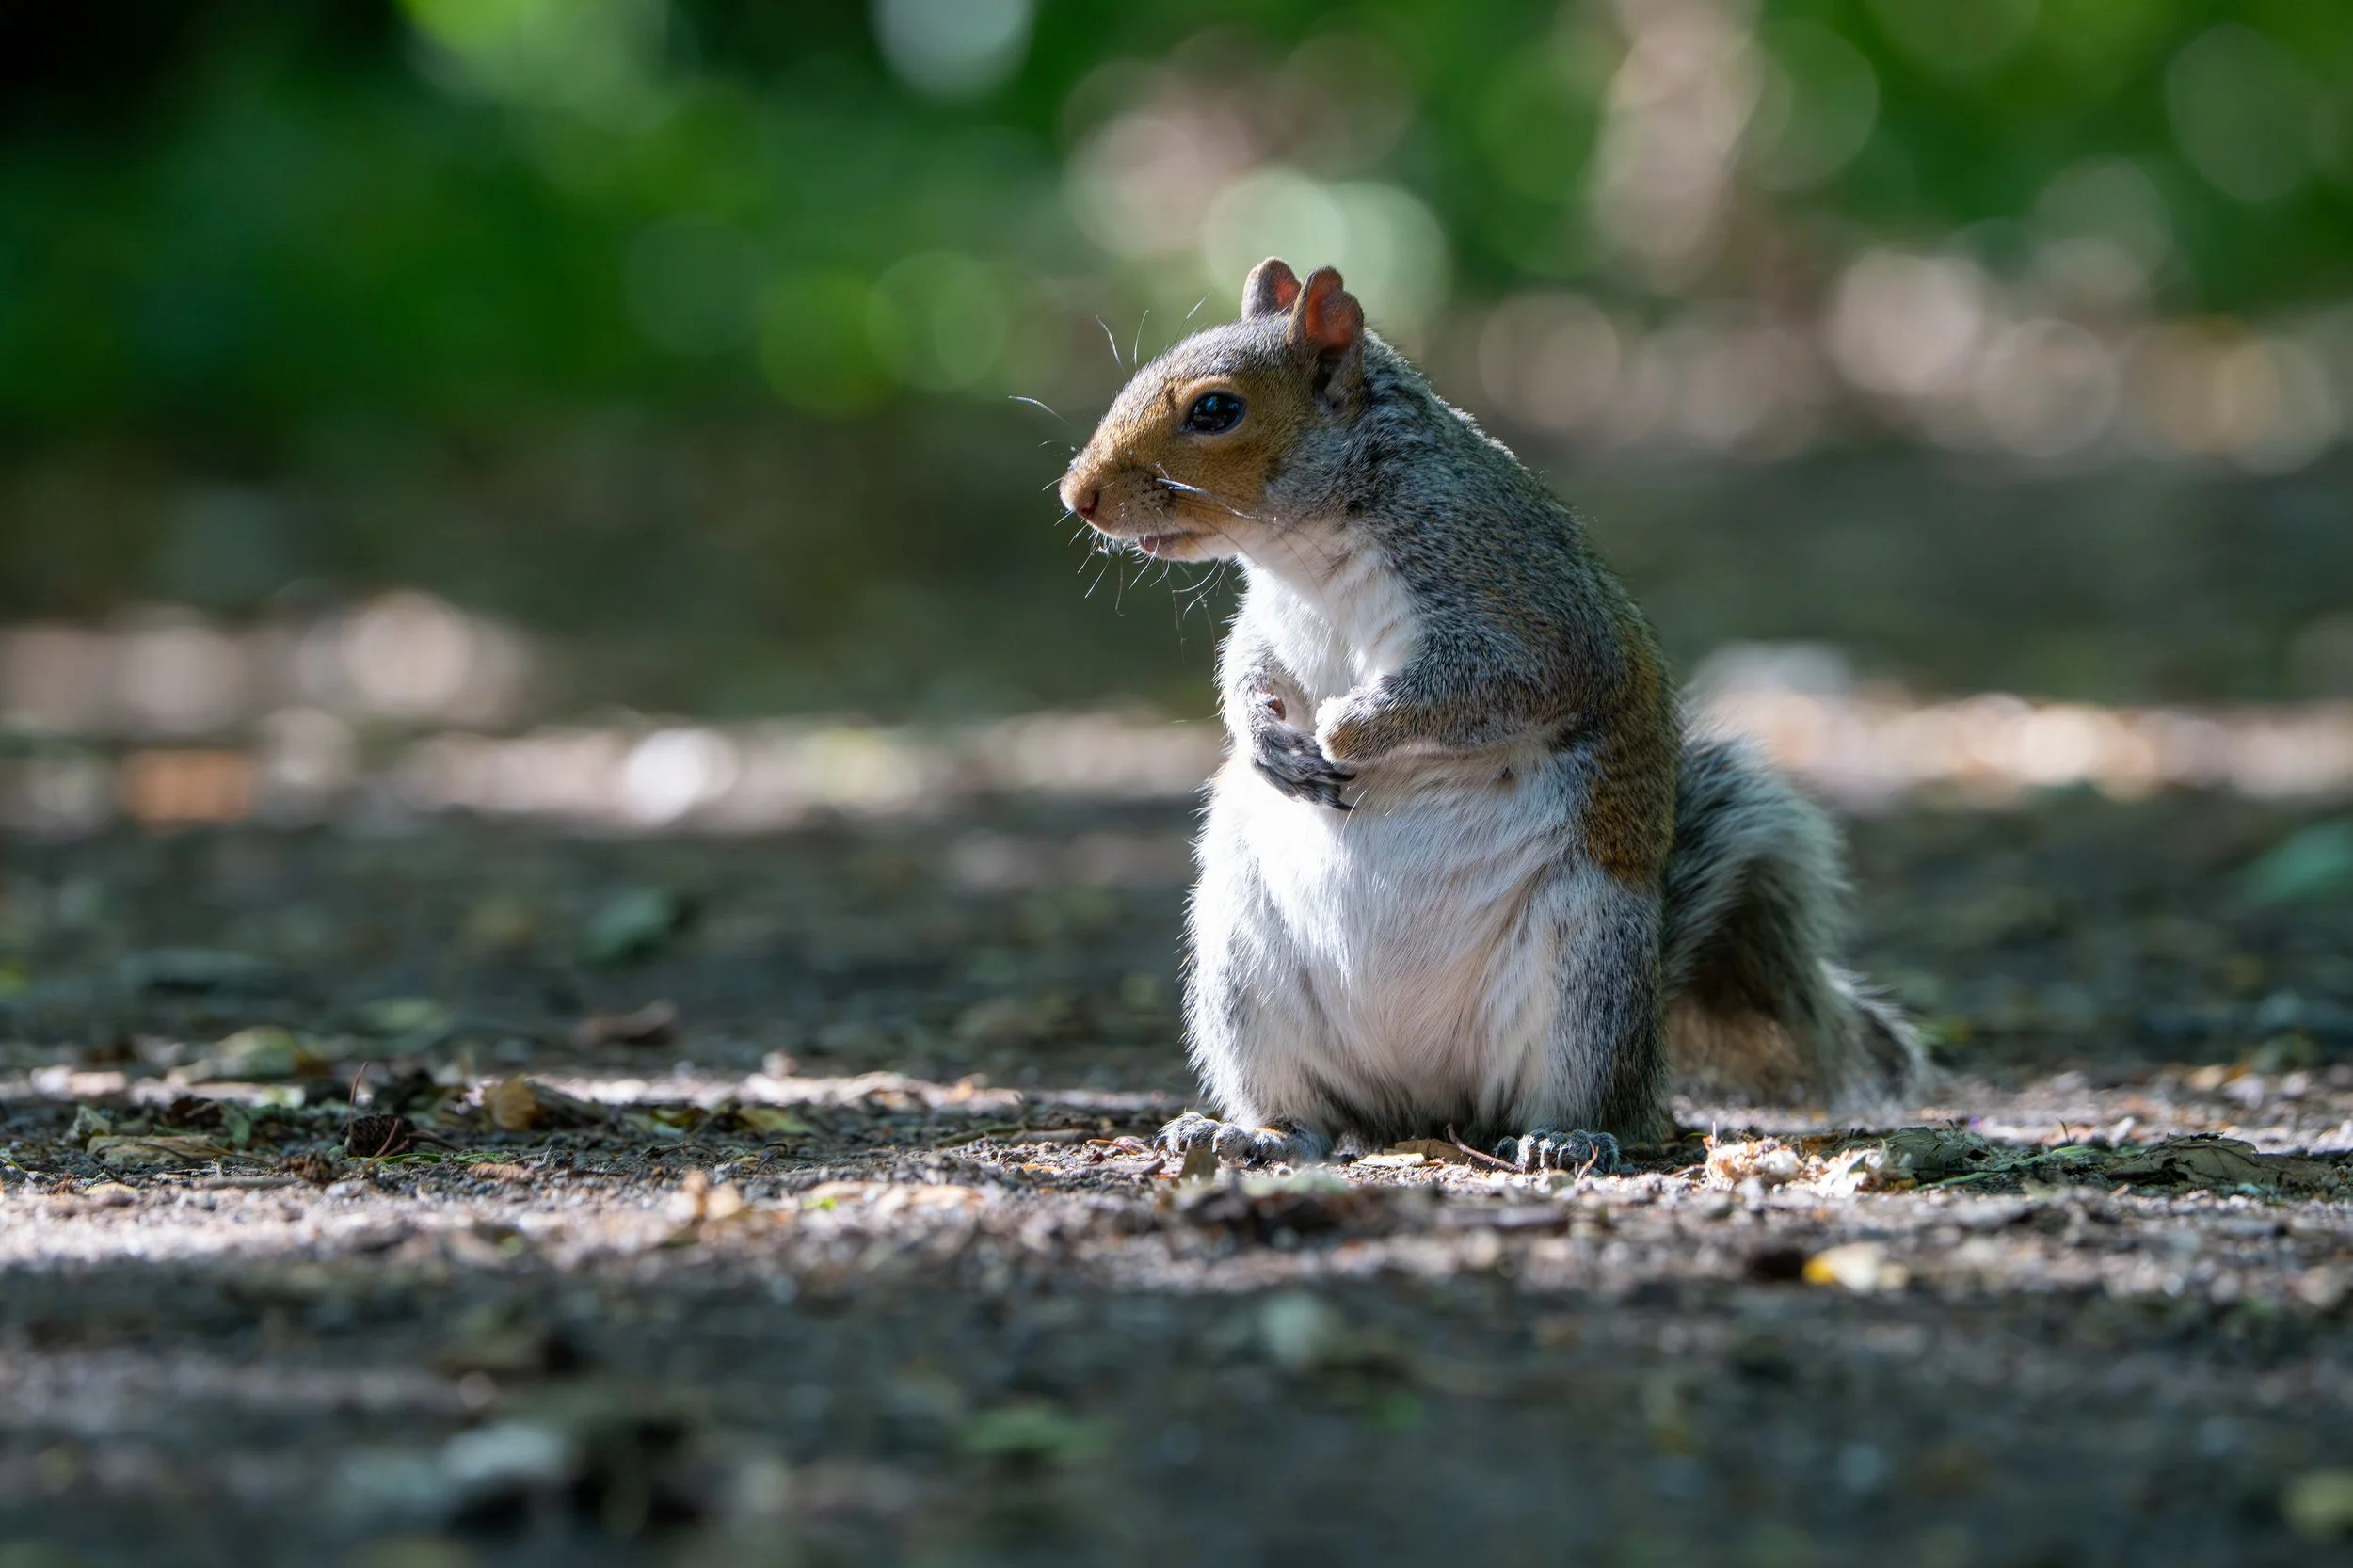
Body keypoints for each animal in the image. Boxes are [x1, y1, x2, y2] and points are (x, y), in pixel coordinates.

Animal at [1058, 258, 1924, 1171]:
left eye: (1216, 410)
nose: (1077, 497)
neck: (1308, 553)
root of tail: (1426, 1104)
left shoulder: (1530, 615)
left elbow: (1479, 690)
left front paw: (1345, 728)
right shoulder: (1271, 620)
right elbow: (1246, 666)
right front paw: (1264, 741)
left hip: (1586, 971)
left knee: (1590, 1102)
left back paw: (1566, 1137)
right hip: (1243, 975)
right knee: (1318, 1115)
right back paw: (1250, 1132)